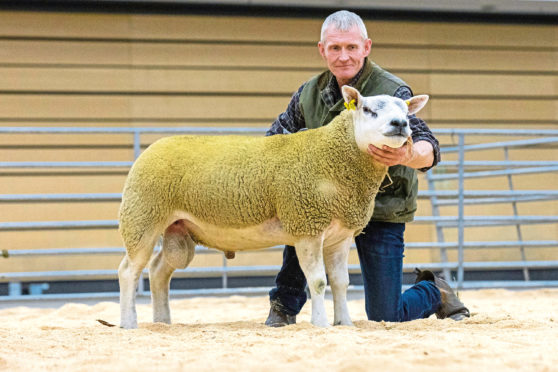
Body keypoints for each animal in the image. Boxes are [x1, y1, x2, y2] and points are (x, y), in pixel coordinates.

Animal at [118, 86, 428, 328]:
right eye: (367, 109)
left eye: (407, 111)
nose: (400, 124)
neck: (332, 157)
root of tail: (151, 149)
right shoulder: (307, 226)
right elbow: (318, 282)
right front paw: (321, 324)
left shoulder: (339, 235)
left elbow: (341, 283)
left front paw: (345, 323)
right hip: (142, 218)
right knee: (128, 271)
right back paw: (128, 322)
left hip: (176, 228)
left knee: (158, 270)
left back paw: (162, 322)